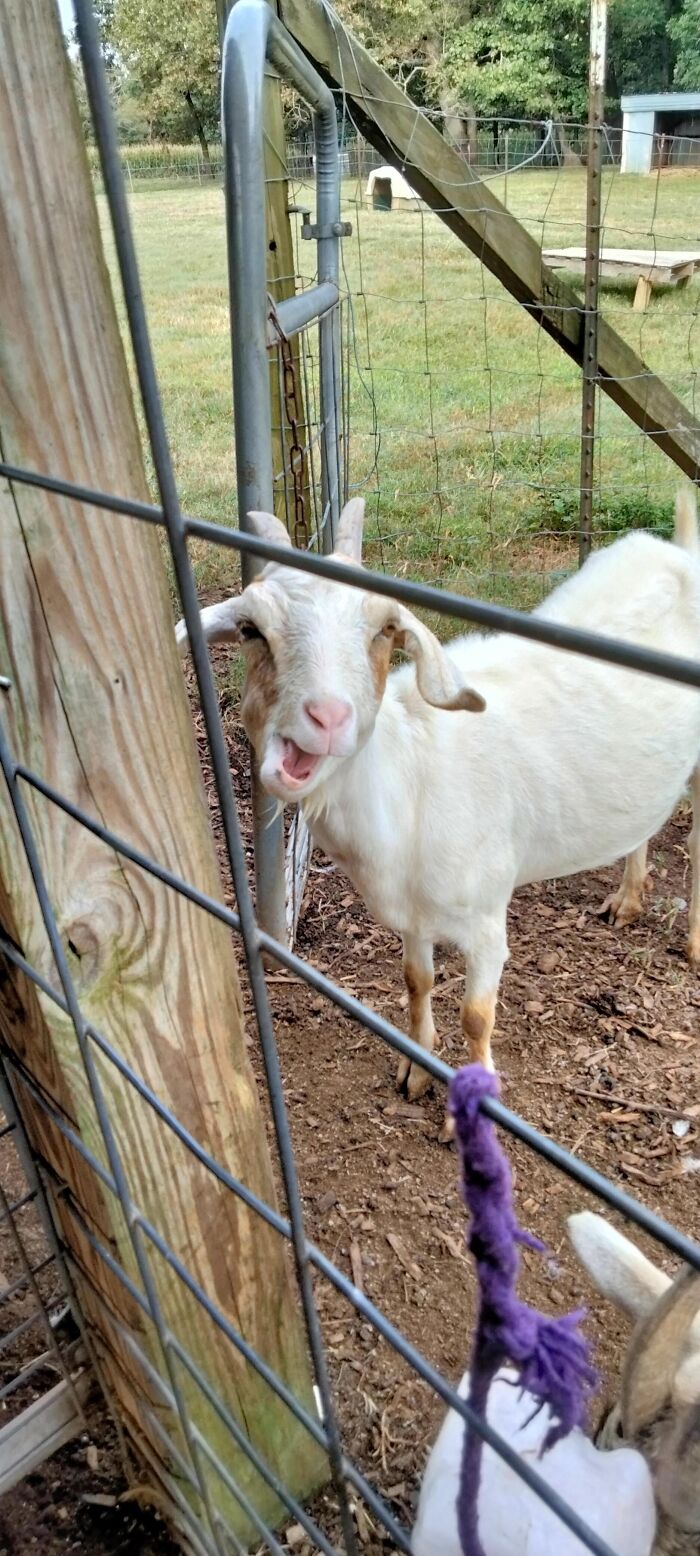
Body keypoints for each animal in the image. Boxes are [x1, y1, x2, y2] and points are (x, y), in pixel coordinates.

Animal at [176, 493, 700, 1097]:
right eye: (249, 629)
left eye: (384, 629)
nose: (327, 718)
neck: (410, 786)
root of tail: (678, 547)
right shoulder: (414, 915)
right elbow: (417, 980)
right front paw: (416, 1066)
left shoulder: (486, 918)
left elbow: (476, 1015)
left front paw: (476, 1090)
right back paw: (628, 899)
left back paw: (694, 943)